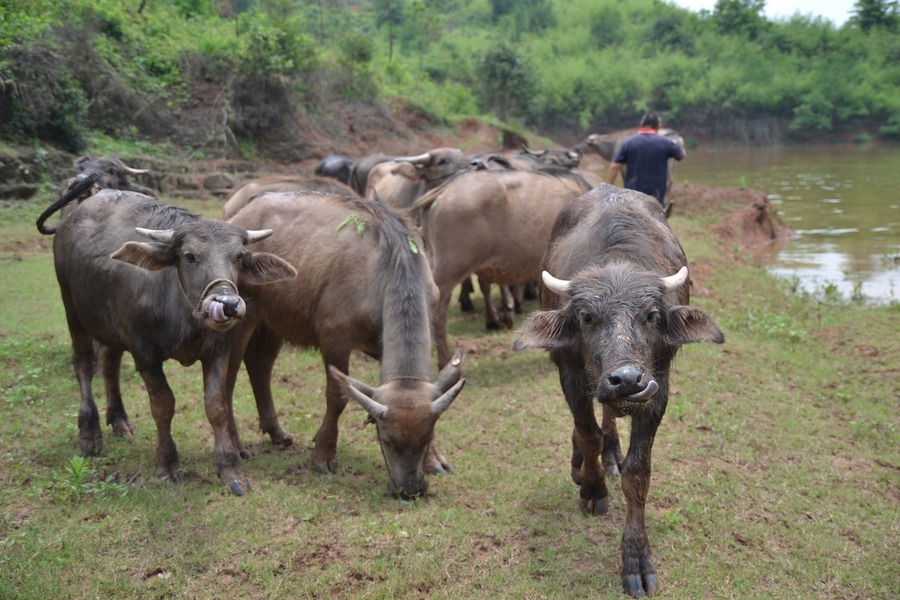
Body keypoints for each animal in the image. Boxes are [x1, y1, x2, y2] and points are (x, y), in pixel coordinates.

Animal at [225, 191, 468, 496]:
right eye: (387, 440)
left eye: (427, 439)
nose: (410, 490)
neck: (387, 265)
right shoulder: (335, 338)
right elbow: (338, 395)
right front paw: (324, 454)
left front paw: (435, 460)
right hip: (242, 320)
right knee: (229, 376)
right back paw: (236, 446)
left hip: (274, 321)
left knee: (260, 366)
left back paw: (277, 433)